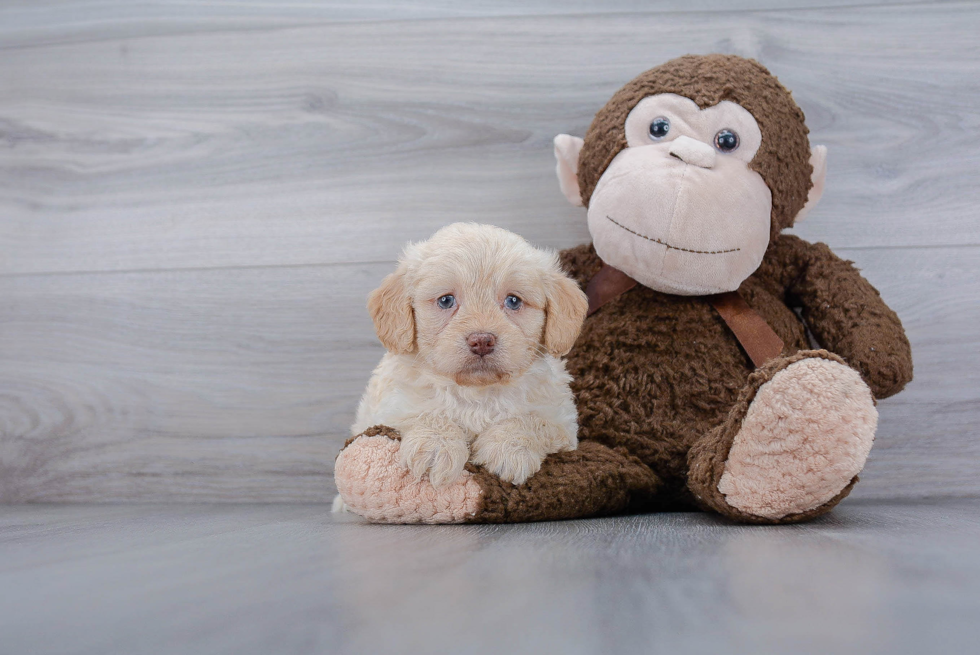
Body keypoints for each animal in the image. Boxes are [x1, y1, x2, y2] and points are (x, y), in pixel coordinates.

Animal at [356, 224, 592, 486]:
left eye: (513, 301)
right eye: (446, 300)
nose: (482, 341)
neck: (478, 394)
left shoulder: (562, 421)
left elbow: (531, 420)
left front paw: (508, 449)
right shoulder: (389, 410)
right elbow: (426, 413)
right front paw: (435, 445)